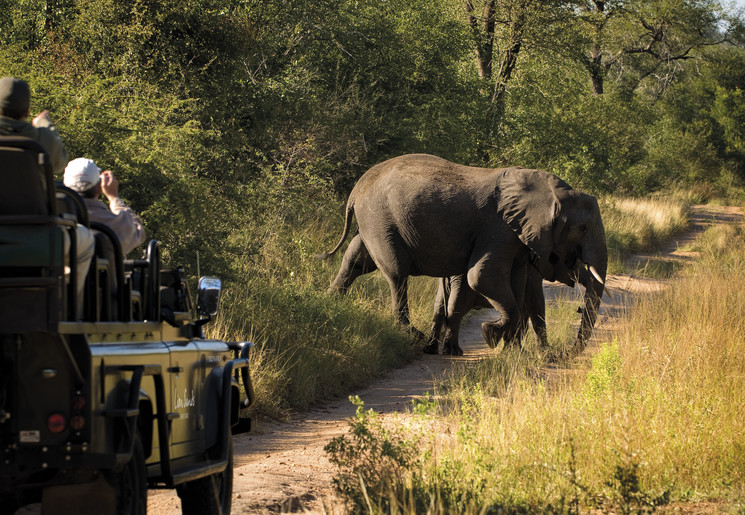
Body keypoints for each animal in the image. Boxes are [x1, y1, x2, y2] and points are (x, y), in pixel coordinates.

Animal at [318, 154, 604, 350]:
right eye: (582, 227)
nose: (579, 309)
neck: (552, 190)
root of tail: (356, 189)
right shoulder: (499, 229)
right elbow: (482, 277)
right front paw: (491, 335)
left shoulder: (517, 240)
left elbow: (517, 284)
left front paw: (511, 349)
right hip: (380, 220)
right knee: (396, 273)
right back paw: (414, 335)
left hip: (372, 223)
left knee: (355, 260)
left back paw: (330, 303)